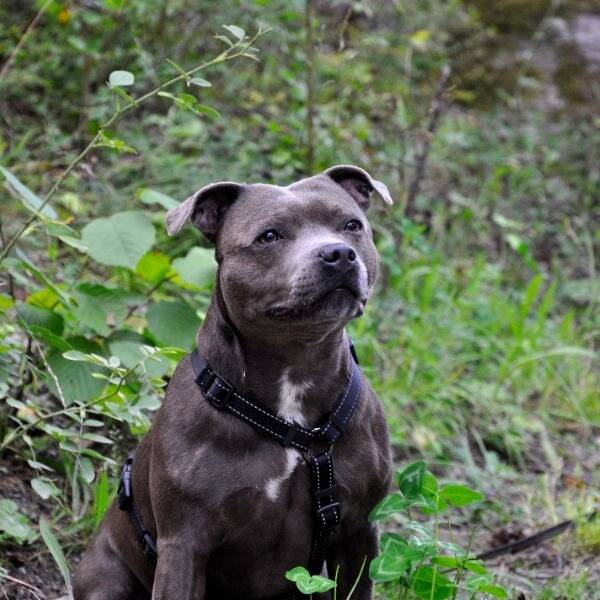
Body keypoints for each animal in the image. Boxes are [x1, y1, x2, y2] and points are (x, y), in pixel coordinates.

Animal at [74, 165, 394, 600]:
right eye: (269, 236)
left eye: (351, 225)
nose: (339, 253)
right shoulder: (184, 544)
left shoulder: (359, 533)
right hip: (107, 577)